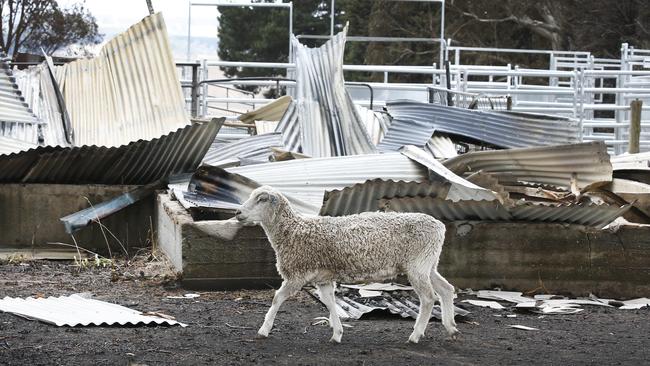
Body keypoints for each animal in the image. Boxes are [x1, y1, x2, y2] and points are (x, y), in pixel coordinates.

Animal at [233, 186, 456, 344]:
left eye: (261, 199)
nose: (237, 212)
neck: (293, 230)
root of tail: (439, 225)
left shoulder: (298, 274)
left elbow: (277, 298)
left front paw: (263, 330)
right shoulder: (322, 278)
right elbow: (329, 302)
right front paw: (337, 333)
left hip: (418, 265)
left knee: (428, 298)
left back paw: (416, 335)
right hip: (428, 263)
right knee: (446, 289)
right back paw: (451, 327)